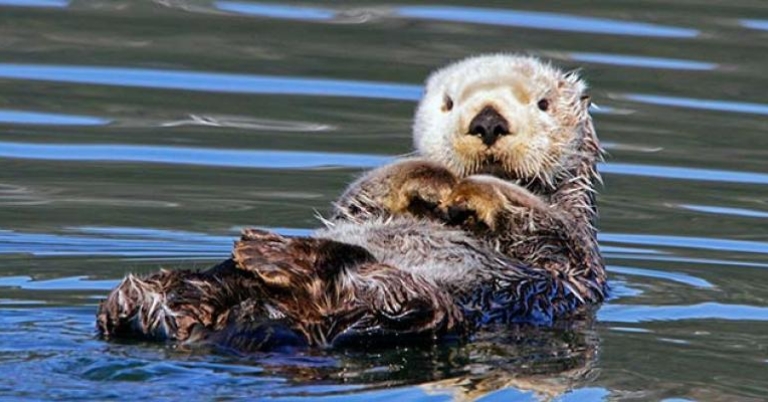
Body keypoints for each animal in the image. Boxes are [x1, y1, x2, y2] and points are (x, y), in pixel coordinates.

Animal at [97, 54, 607, 350]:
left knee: (353, 280)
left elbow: (544, 223)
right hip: (182, 289)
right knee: (136, 302)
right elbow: (363, 194)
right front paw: (431, 179)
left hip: (408, 303)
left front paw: (473, 191)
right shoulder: (357, 208)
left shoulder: (573, 257)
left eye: (542, 104)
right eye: (448, 103)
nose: (487, 121)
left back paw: (271, 251)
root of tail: (256, 319)